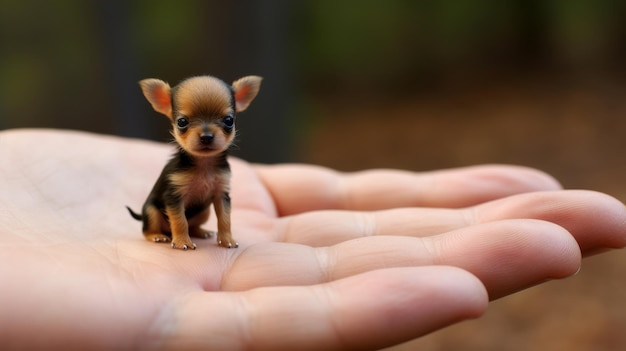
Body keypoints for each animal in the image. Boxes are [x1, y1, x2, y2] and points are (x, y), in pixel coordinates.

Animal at [127, 75, 260, 250]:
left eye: (229, 121)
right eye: (182, 122)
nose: (206, 136)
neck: (204, 164)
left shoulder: (221, 194)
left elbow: (225, 219)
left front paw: (227, 240)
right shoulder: (174, 197)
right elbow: (180, 221)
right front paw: (182, 242)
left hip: (204, 211)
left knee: (193, 225)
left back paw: (202, 231)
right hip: (151, 210)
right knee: (149, 229)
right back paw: (157, 235)